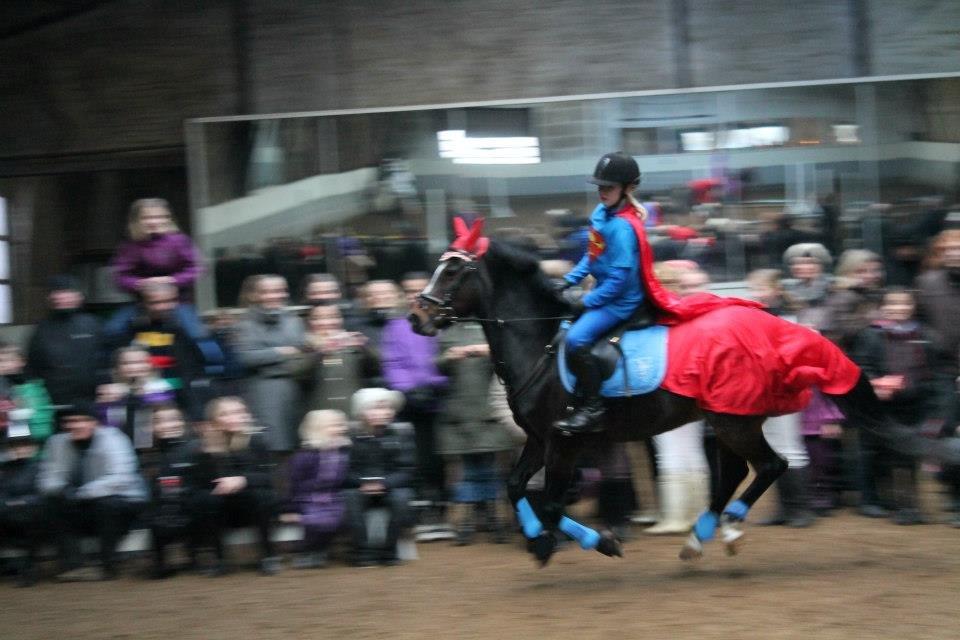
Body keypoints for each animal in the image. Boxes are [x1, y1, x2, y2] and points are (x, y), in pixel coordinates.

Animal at [410, 220, 928, 564]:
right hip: (725, 417)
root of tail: (777, 322)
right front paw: (539, 541)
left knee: (770, 465)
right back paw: (702, 533)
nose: (417, 316)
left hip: (734, 419)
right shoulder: (540, 440)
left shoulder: (565, 442)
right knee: (736, 471)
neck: (539, 342)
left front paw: (601, 541)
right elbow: (516, 486)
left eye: (452, 272)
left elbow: (554, 503)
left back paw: (728, 526)